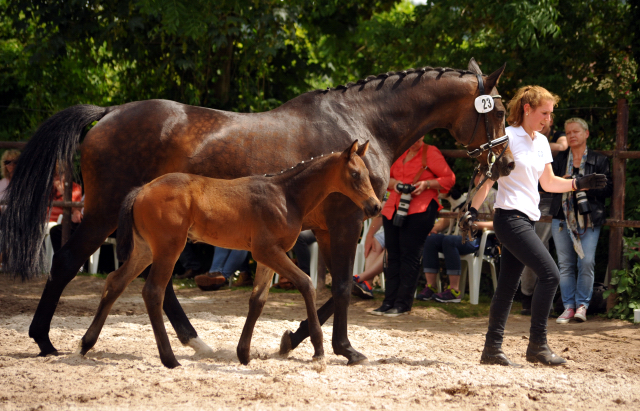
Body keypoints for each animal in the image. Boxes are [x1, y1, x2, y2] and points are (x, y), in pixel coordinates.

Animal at [78, 140, 382, 368]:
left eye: (368, 174)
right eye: (355, 175)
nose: (376, 207)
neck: (286, 195)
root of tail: (141, 189)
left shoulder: (267, 256)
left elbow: (257, 300)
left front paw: (243, 354)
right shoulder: (267, 251)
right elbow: (306, 284)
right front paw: (318, 352)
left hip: (145, 250)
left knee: (116, 281)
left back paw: (86, 343)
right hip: (168, 249)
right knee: (153, 292)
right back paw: (170, 359)